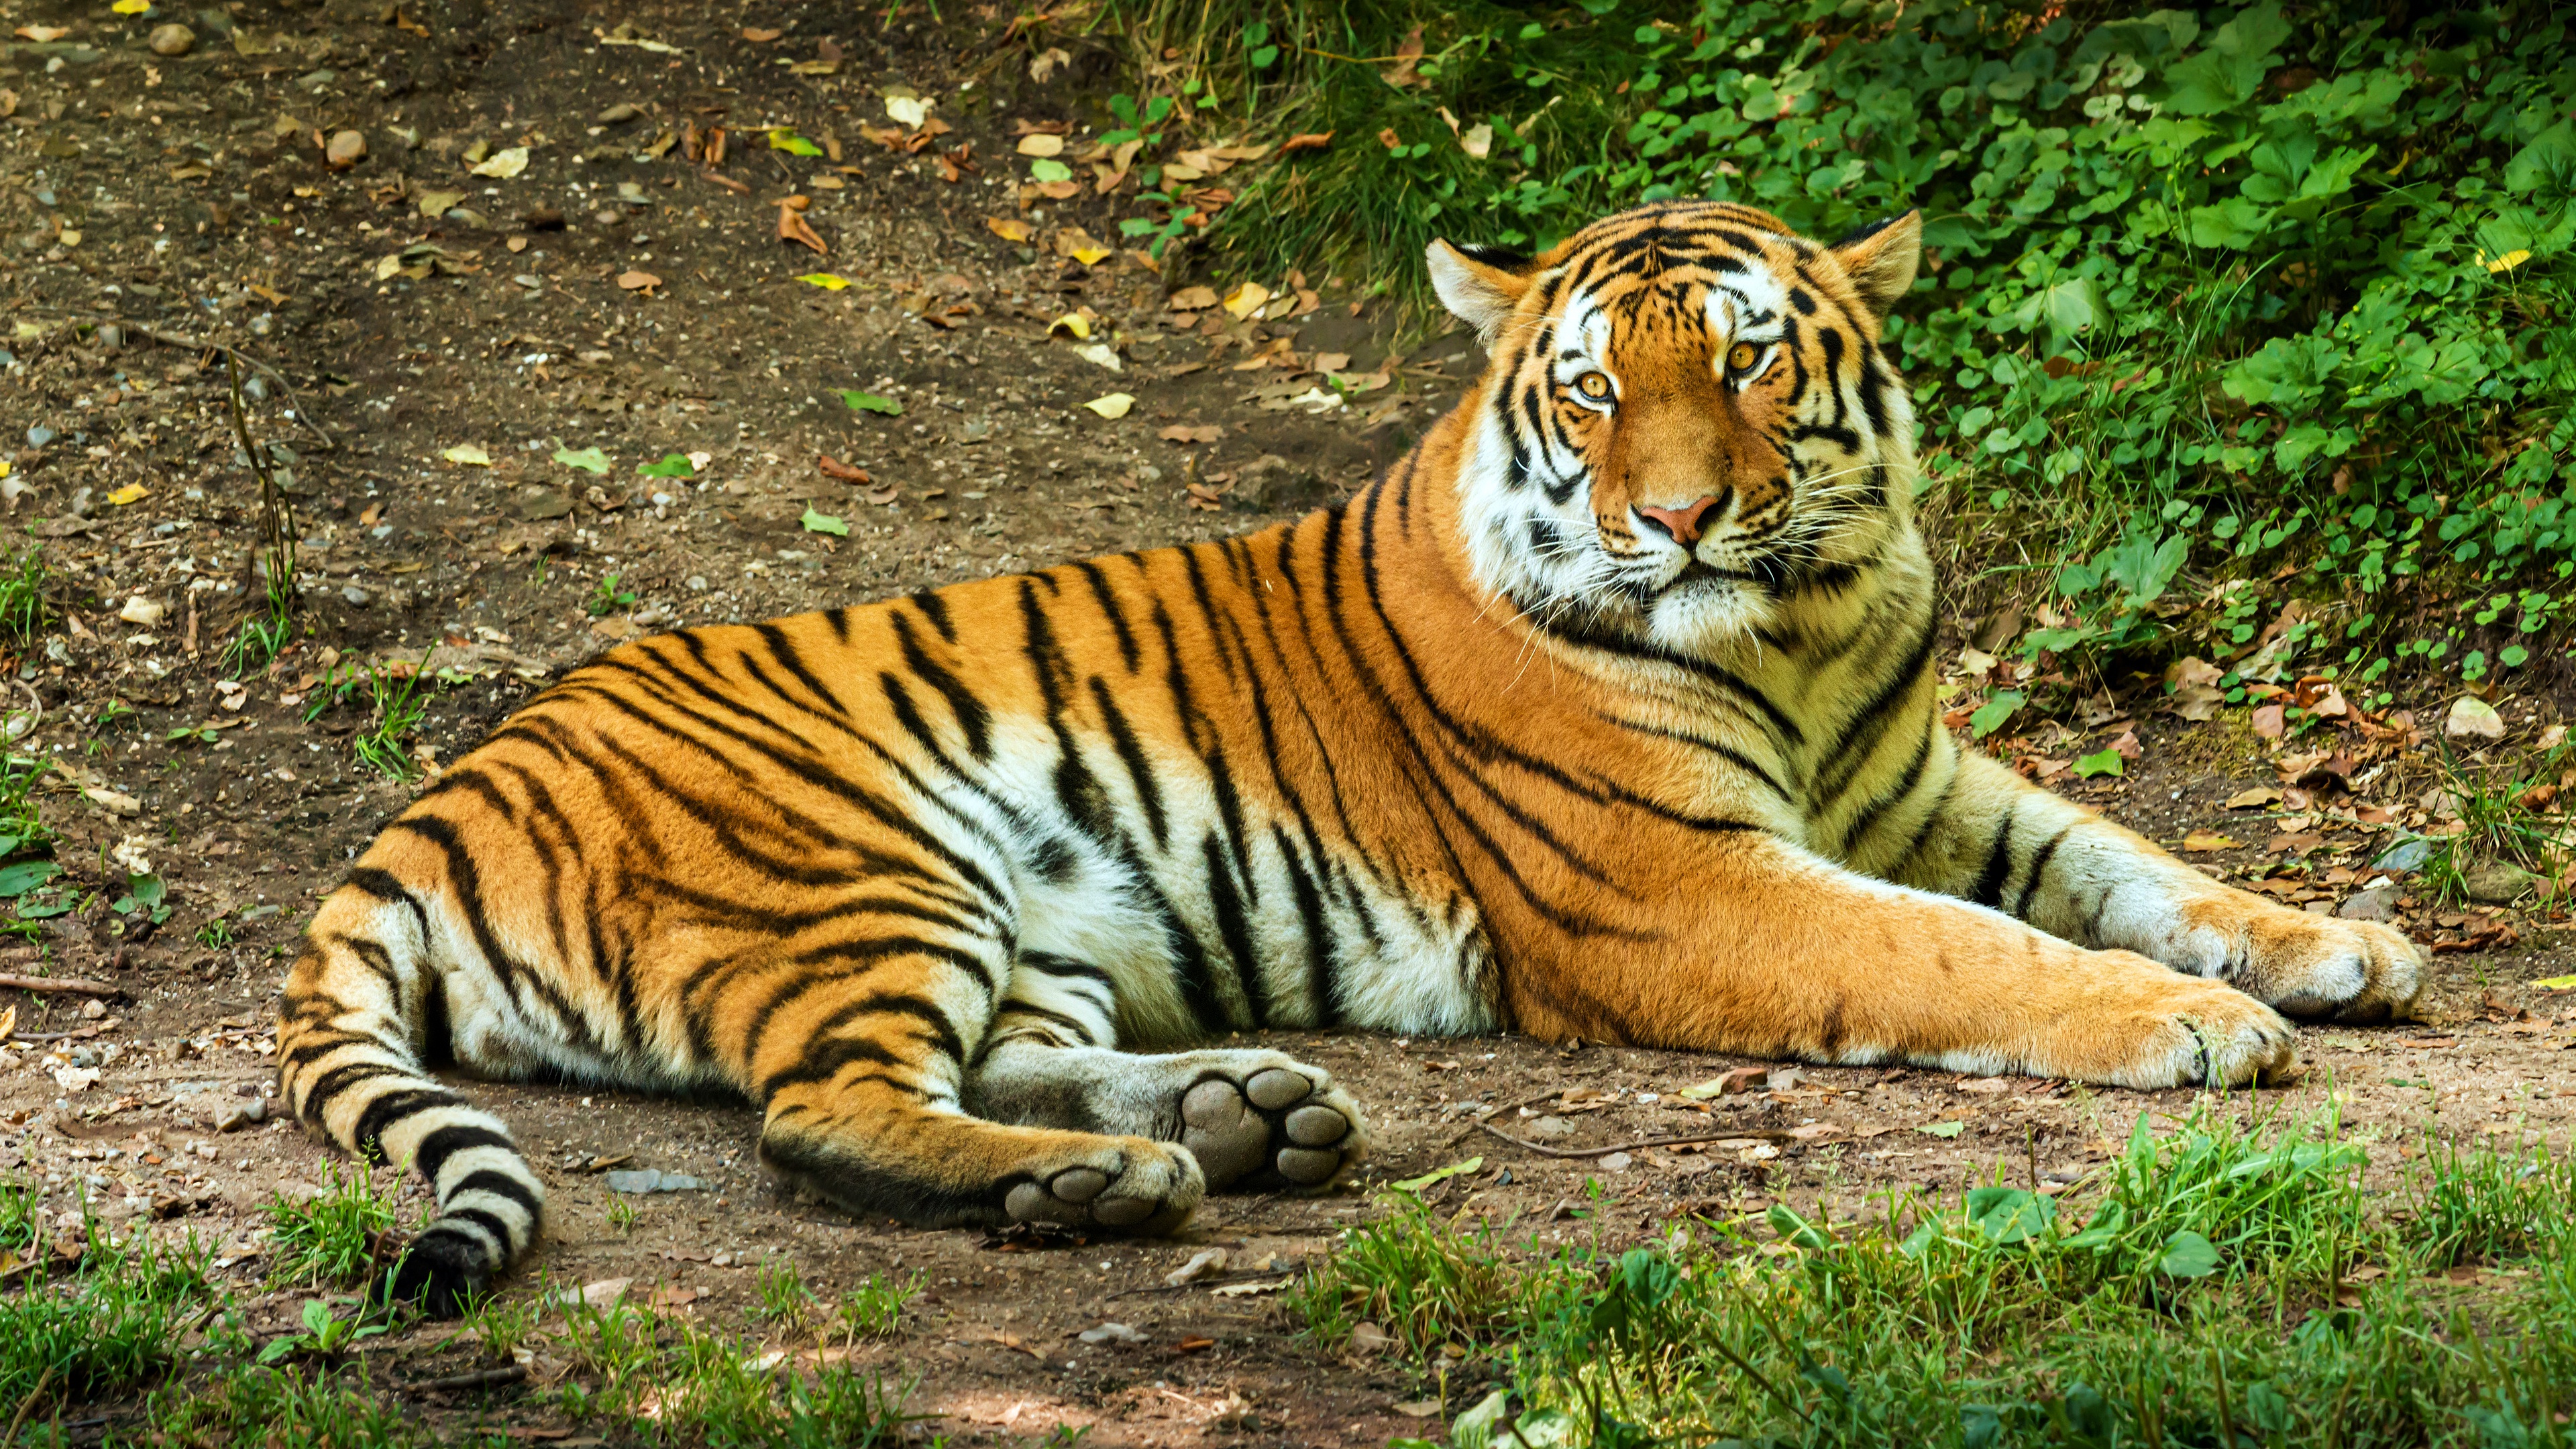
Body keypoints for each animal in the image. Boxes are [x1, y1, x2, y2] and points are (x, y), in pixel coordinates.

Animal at [276, 199, 2411, 1309]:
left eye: (1745, 362)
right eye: (1593, 390)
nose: (1679, 519)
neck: (1799, 631)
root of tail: (438, 795)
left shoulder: (1917, 784)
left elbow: (2118, 862)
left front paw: (2333, 943)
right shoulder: (1685, 884)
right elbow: (1967, 950)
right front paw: (2192, 1026)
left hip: (1038, 917)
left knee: (1001, 1060)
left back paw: (1239, 1120)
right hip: (865, 857)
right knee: (820, 1113)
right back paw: (1121, 1187)